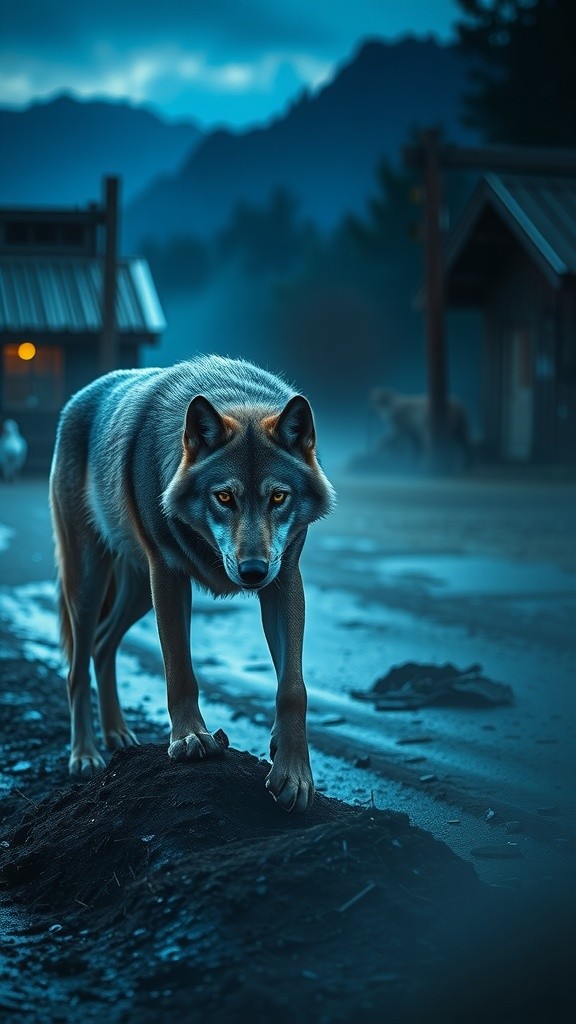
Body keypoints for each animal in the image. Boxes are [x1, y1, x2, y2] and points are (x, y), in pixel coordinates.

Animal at [49, 355, 335, 812]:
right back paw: (85, 755)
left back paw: (118, 735)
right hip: (91, 583)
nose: (252, 572)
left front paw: (294, 773)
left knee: (103, 645)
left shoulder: (285, 578)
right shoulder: (168, 574)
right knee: (76, 666)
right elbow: (179, 668)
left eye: (278, 497)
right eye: (224, 497)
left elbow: (292, 687)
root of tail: (79, 397)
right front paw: (189, 739)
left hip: (137, 592)